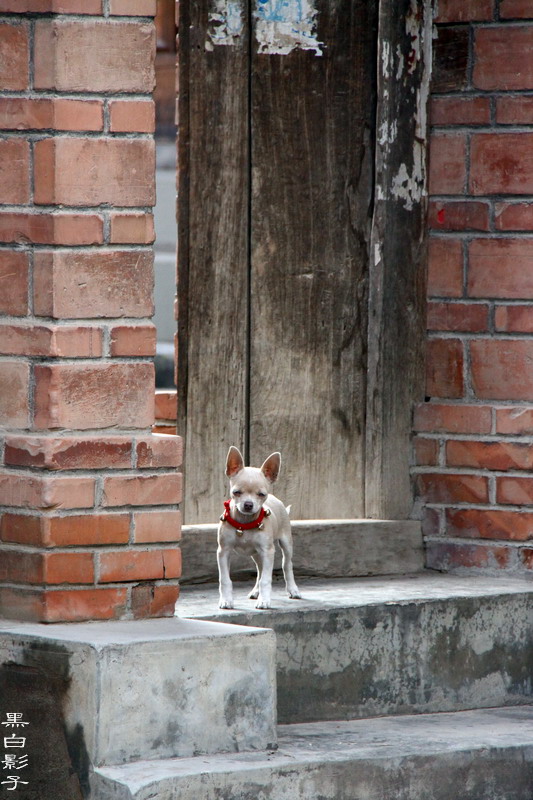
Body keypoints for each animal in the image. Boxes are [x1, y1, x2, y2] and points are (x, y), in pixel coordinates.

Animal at [215, 446, 300, 608]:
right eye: (236, 492)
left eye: (261, 494)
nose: (248, 504)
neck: (244, 523)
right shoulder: (223, 552)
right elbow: (225, 580)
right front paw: (226, 600)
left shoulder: (267, 552)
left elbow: (265, 580)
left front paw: (264, 601)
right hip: (256, 553)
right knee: (260, 570)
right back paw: (255, 592)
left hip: (286, 544)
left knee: (287, 565)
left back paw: (293, 589)